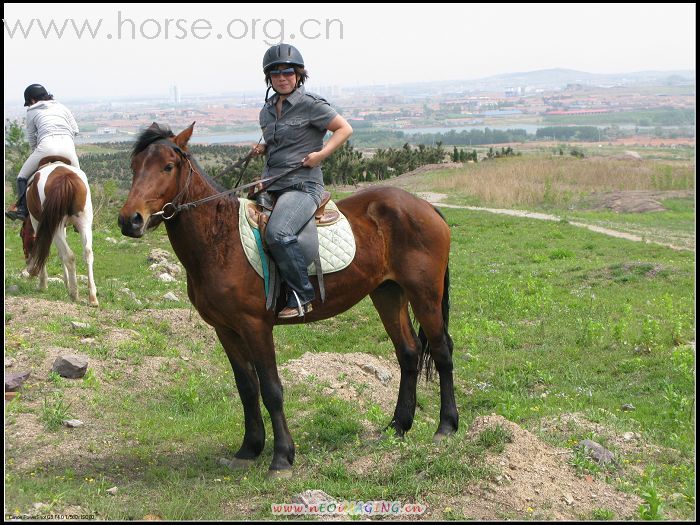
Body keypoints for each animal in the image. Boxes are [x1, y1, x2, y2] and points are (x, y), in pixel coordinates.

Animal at [20, 155, 98, 308]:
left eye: (21, 235)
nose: (27, 263)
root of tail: (65, 177)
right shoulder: (63, 227)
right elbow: (60, 253)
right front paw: (66, 282)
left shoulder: (38, 223)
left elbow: (43, 250)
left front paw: (42, 284)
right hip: (84, 222)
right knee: (87, 253)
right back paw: (92, 298)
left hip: (55, 226)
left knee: (69, 255)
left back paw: (74, 294)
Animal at [117, 124, 456, 474]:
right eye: (134, 166)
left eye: (168, 167)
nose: (130, 220)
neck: (220, 239)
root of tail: (425, 207)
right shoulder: (225, 329)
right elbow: (247, 387)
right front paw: (249, 448)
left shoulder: (255, 326)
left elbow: (271, 389)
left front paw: (281, 456)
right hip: (388, 293)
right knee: (408, 353)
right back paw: (398, 426)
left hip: (424, 294)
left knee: (442, 351)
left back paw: (445, 426)